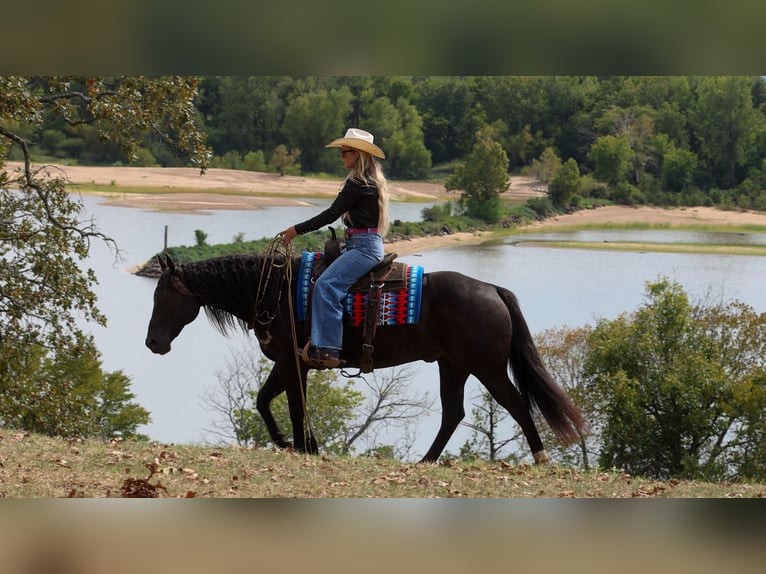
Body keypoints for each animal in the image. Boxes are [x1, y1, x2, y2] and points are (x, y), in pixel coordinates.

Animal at [145, 251, 587, 463]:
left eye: (163, 295)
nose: (152, 343)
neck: (275, 289)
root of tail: (492, 289)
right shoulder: (291, 363)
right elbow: (266, 401)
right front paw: (296, 443)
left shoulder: (290, 362)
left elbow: (292, 405)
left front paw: (301, 445)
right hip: (454, 366)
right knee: (453, 413)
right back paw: (426, 460)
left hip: (487, 368)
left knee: (516, 404)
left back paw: (541, 457)